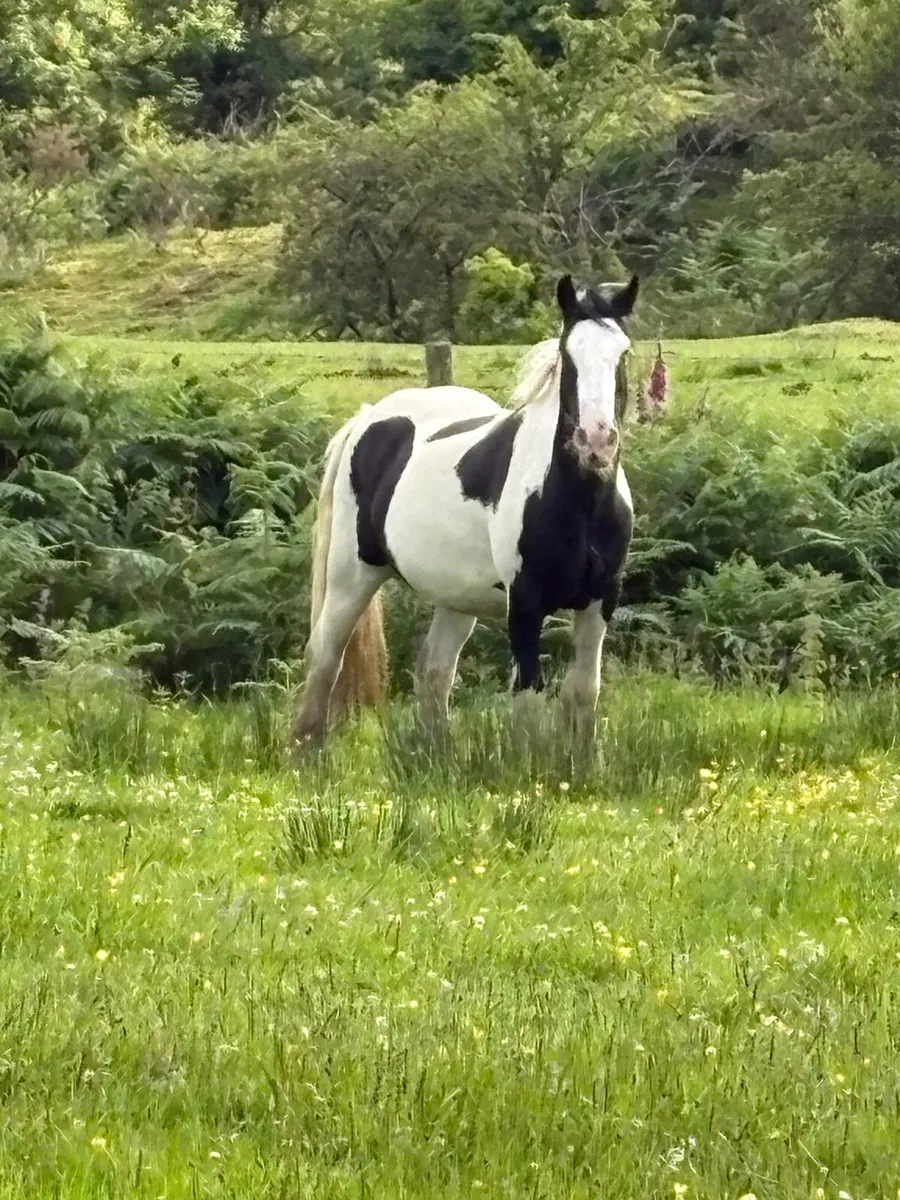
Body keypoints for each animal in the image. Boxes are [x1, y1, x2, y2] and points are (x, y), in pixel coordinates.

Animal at [290, 273, 638, 752]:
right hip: (351, 576)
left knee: (433, 673)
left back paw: (439, 757)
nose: (597, 443)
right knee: (325, 658)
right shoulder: (525, 603)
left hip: (454, 597)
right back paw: (307, 754)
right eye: (568, 356)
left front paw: (582, 763)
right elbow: (528, 698)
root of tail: (369, 418)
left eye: (623, 353)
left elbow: (584, 692)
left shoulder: (601, 600)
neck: (580, 503)